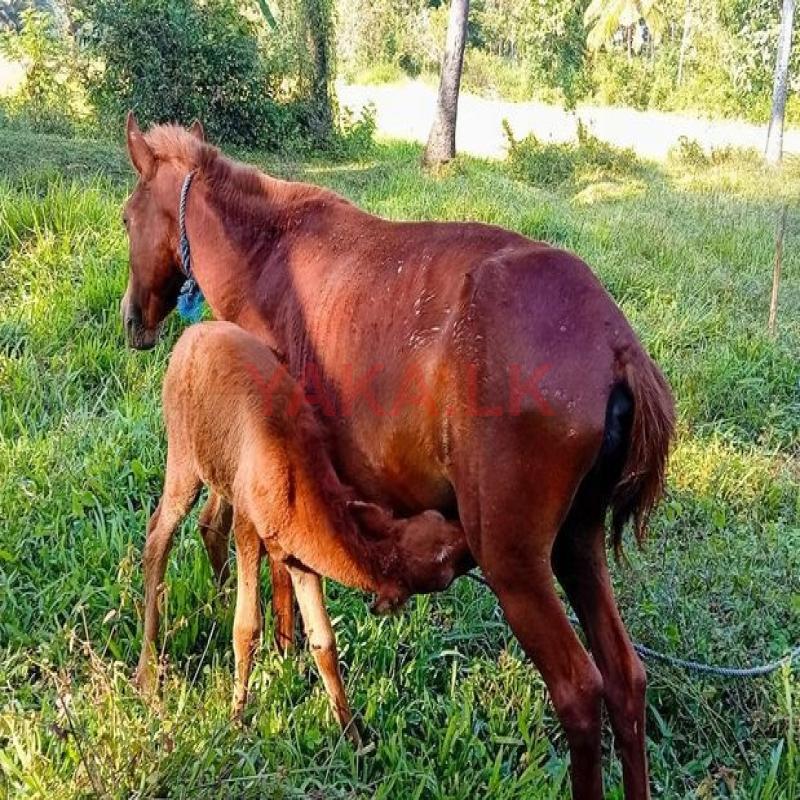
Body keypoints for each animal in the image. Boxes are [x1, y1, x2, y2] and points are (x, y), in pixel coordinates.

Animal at [137, 320, 470, 739]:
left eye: (437, 522)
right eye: (445, 569)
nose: (471, 542)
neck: (297, 482)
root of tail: (189, 335)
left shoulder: (299, 559)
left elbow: (323, 641)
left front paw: (352, 734)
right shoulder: (250, 530)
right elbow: (247, 628)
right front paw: (236, 719)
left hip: (219, 467)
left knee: (209, 524)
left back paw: (219, 604)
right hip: (183, 459)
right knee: (158, 537)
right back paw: (148, 671)